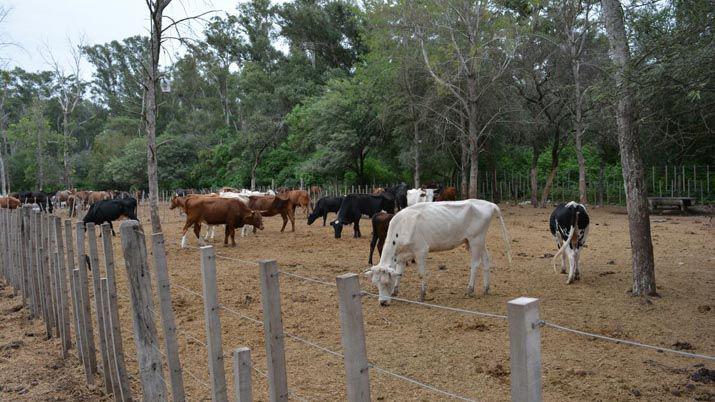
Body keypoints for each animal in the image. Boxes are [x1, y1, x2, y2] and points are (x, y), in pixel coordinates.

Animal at [366, 199, 512, 306]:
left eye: (386, 283)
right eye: (376, 283)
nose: (382, 303)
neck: (403, 226)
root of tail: (489, 204)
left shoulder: (421, 251)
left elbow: (421, 274)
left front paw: (422, 295)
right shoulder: (402, 255)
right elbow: (399, 274)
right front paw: (395, 292)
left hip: (475, 239)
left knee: (475, 264)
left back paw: (470, 290)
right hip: (476, 241)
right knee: (486, 260)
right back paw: (487, 288)